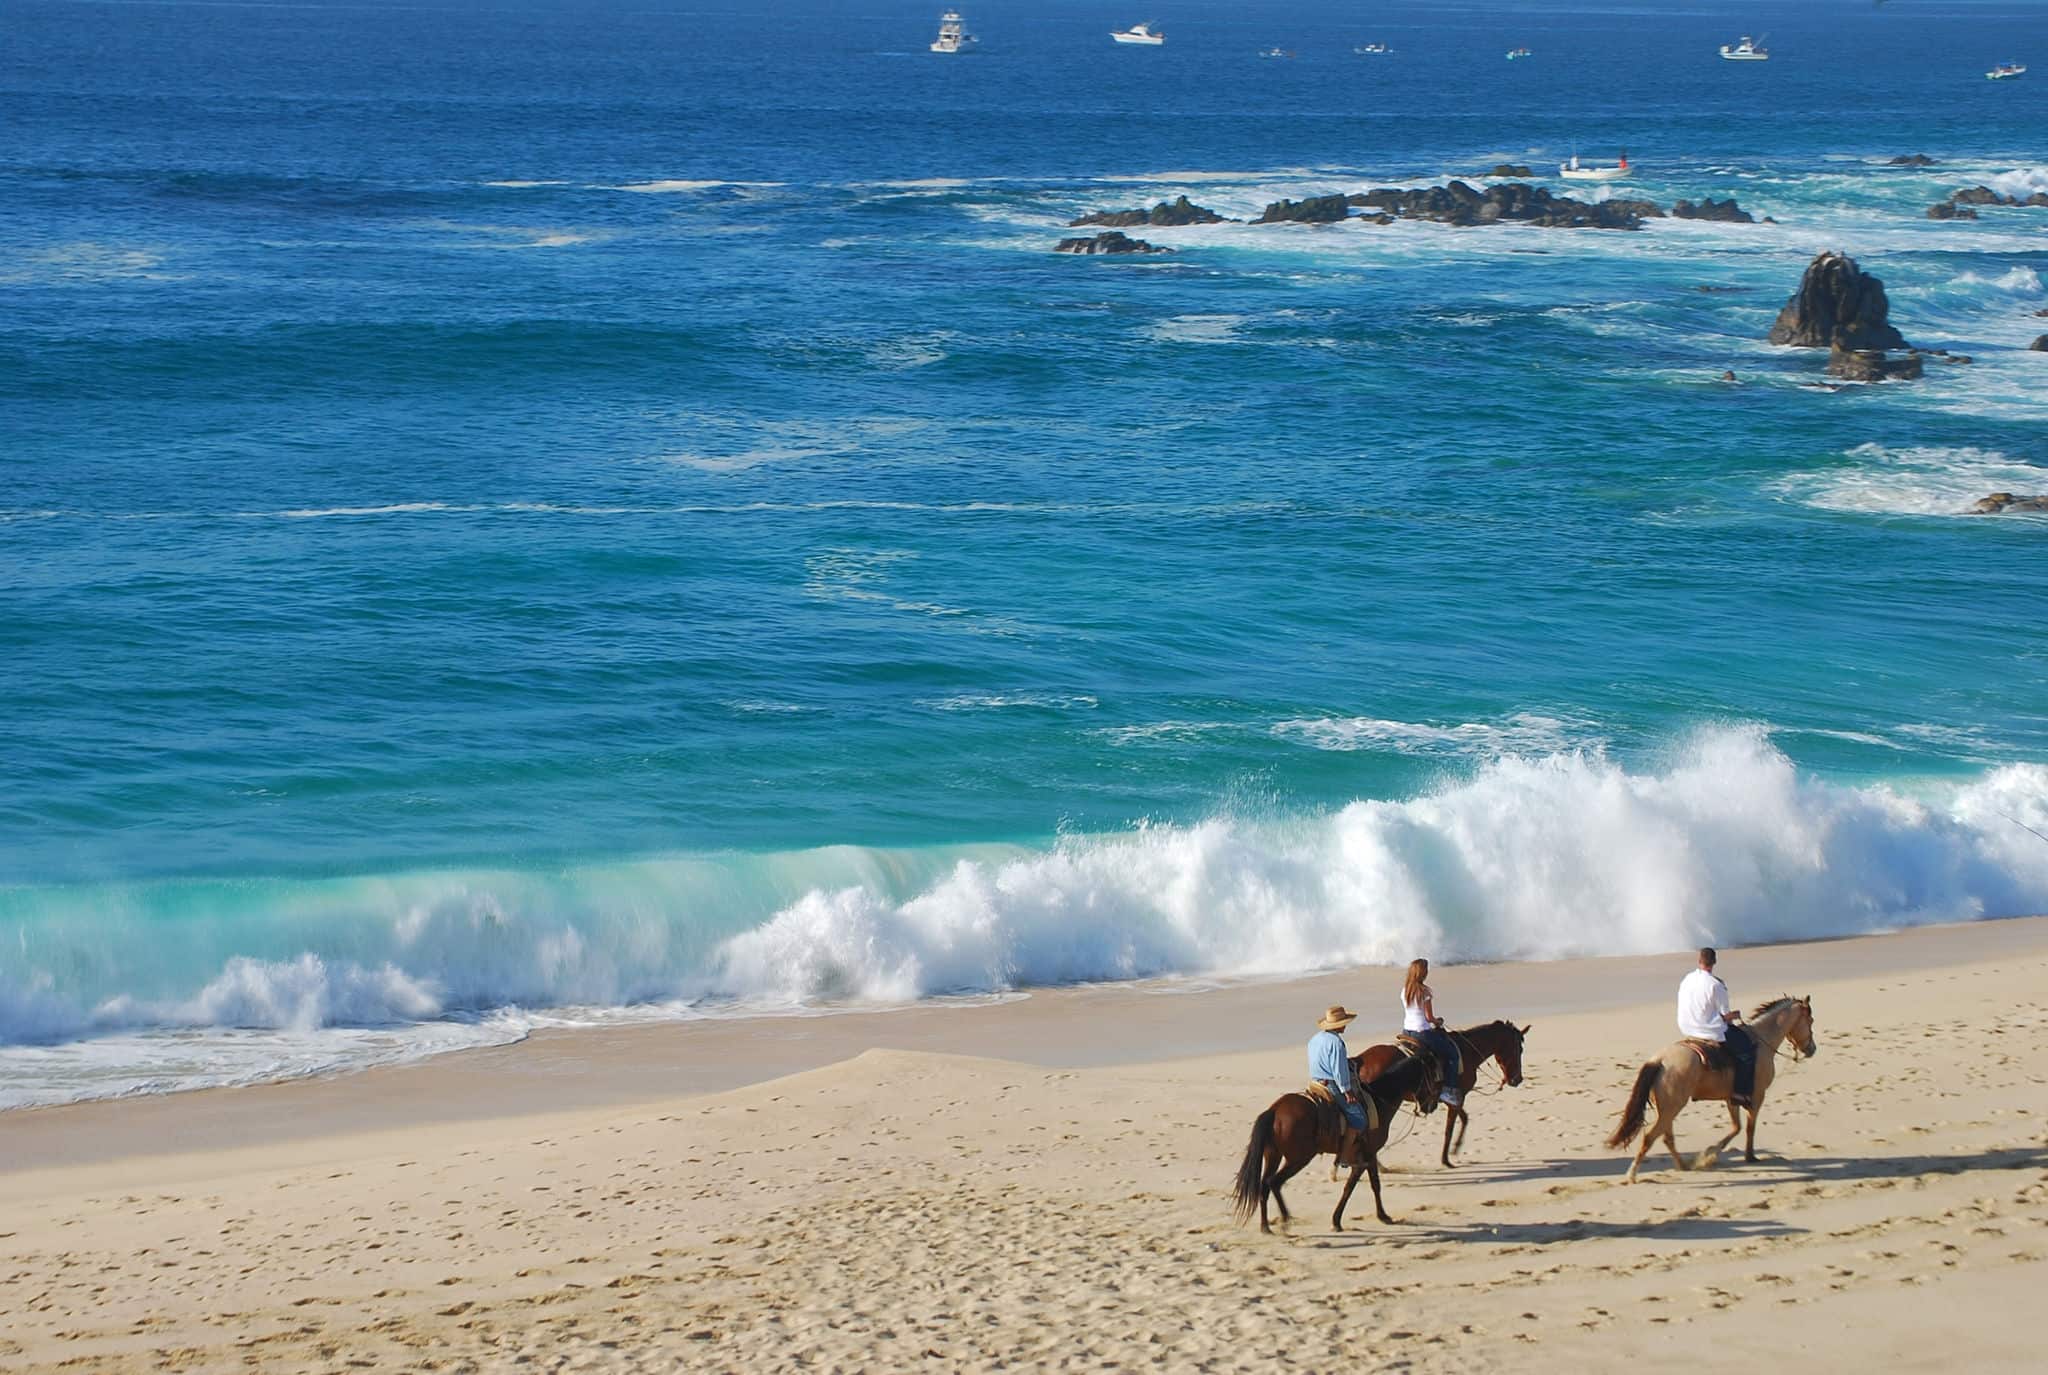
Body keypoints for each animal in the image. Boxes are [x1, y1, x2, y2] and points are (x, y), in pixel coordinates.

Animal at [1230, 1052, 1438, 1234]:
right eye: (1434, 1078)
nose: (1432, 1106)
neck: (1378, 1100)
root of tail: (1275, 1110)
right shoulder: (1365, 1157)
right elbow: (1351, 1188)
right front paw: (1337, 1221)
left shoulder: (1369, 1155)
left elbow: (1374, 1184)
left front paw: (1383, 1216)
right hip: (1298, 1159)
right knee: (1273, 1182)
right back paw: (1285, 1220)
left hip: (1273, 1155)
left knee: (1264, 1185)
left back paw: (1266, 1227)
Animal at [1351, 1020, 1531, 1169]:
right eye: (1519, 1049)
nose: (1518, 1079)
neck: (1467, 1051)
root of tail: (1358, 1061)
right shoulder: (1457, 1096)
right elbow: (1450, 1128)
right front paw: (1446, 1159)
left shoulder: (1451, 1097)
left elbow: (1464, 1118)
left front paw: (1455, 1149)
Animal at [1606, 995, 1817, 1183]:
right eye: (1810, 1020)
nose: (1812, 1049)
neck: (1761, 1041)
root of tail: (1659, 1060)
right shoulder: (1757, 1096)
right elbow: (1749, 1128)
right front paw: (1746, 1156)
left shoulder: (1732, 1098)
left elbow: (1736, 1127)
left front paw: (1711, 1153)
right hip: (1671, 1108)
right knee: (1650, 1137)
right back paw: (1633, 1174)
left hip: (1667, 1109)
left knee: (1666, 1138)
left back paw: (1683, 1166)